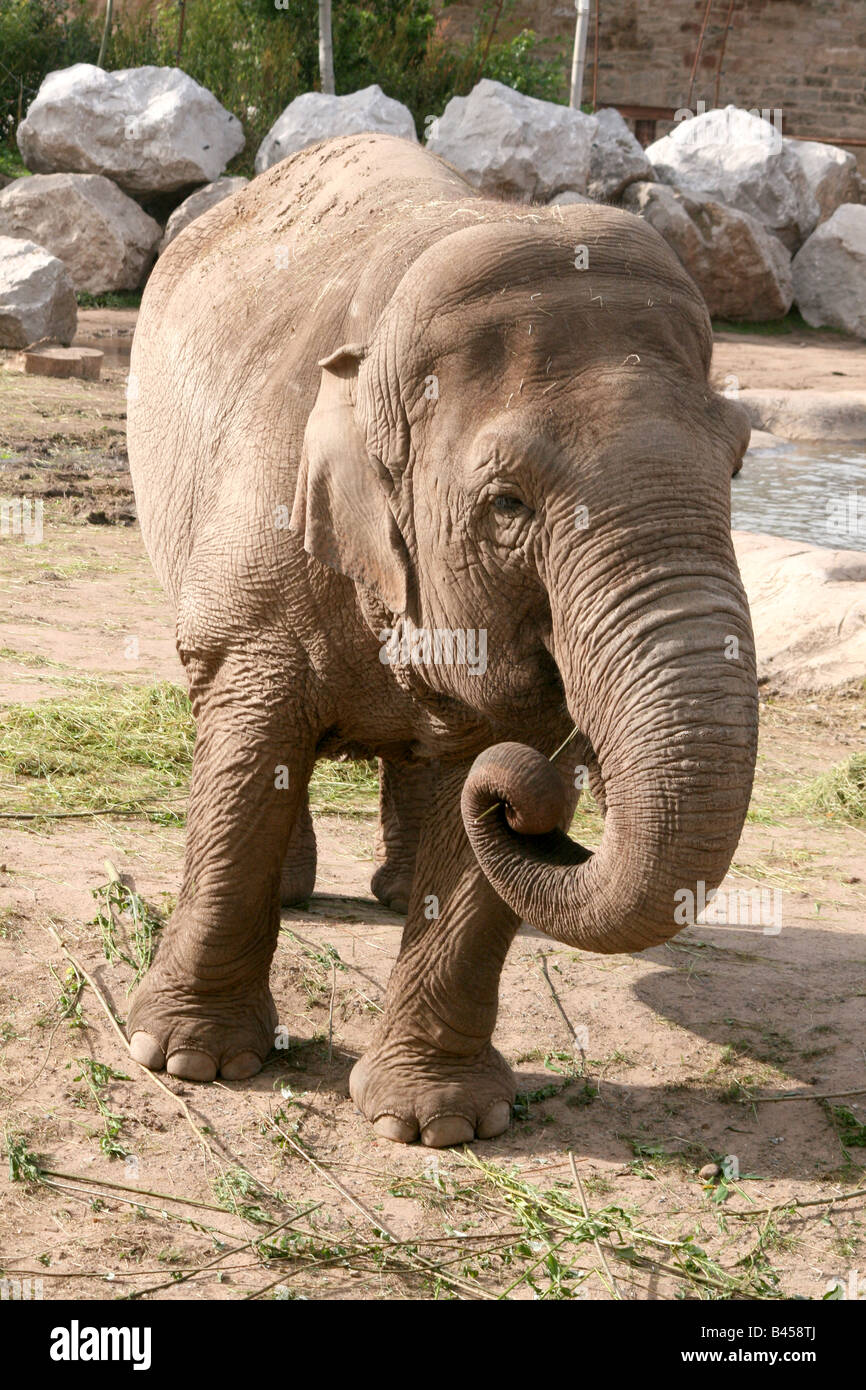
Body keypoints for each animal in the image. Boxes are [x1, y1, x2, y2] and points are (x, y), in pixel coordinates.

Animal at [125, 132, 756, 1150]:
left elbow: (485, 776)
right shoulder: (261, 524)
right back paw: (302, 897)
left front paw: (435, 1125)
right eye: (507, 505)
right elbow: (250, 741)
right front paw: (192, 1062)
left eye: (738, 464)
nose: (539, 804)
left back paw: (391, 890)